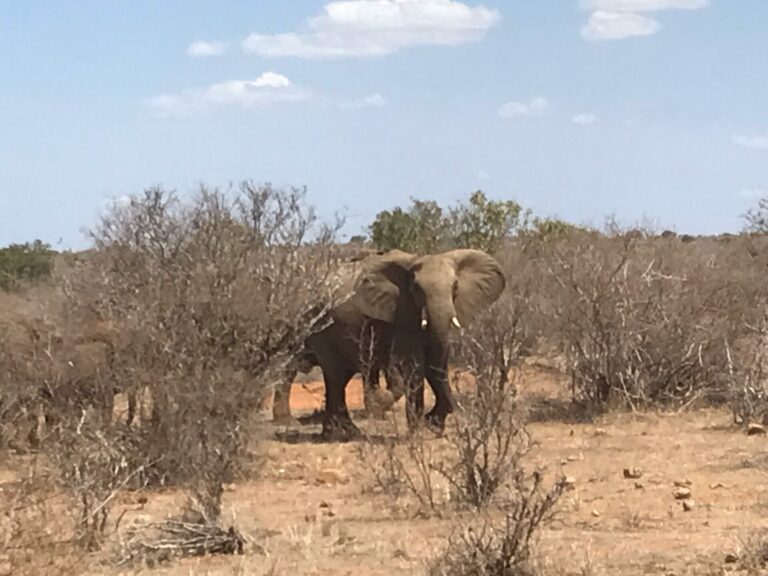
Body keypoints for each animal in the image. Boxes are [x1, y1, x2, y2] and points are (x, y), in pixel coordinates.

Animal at [306, 248, 504, 440]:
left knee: (339, 379)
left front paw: (433, 426)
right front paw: (418, 433)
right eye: (416, 289)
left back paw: (341, 433)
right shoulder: (401, 314)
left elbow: (436, 364)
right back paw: (341, 435)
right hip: (321, 327)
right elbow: (415, 365)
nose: (431, 421)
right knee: (335, 376)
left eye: (455, 287)